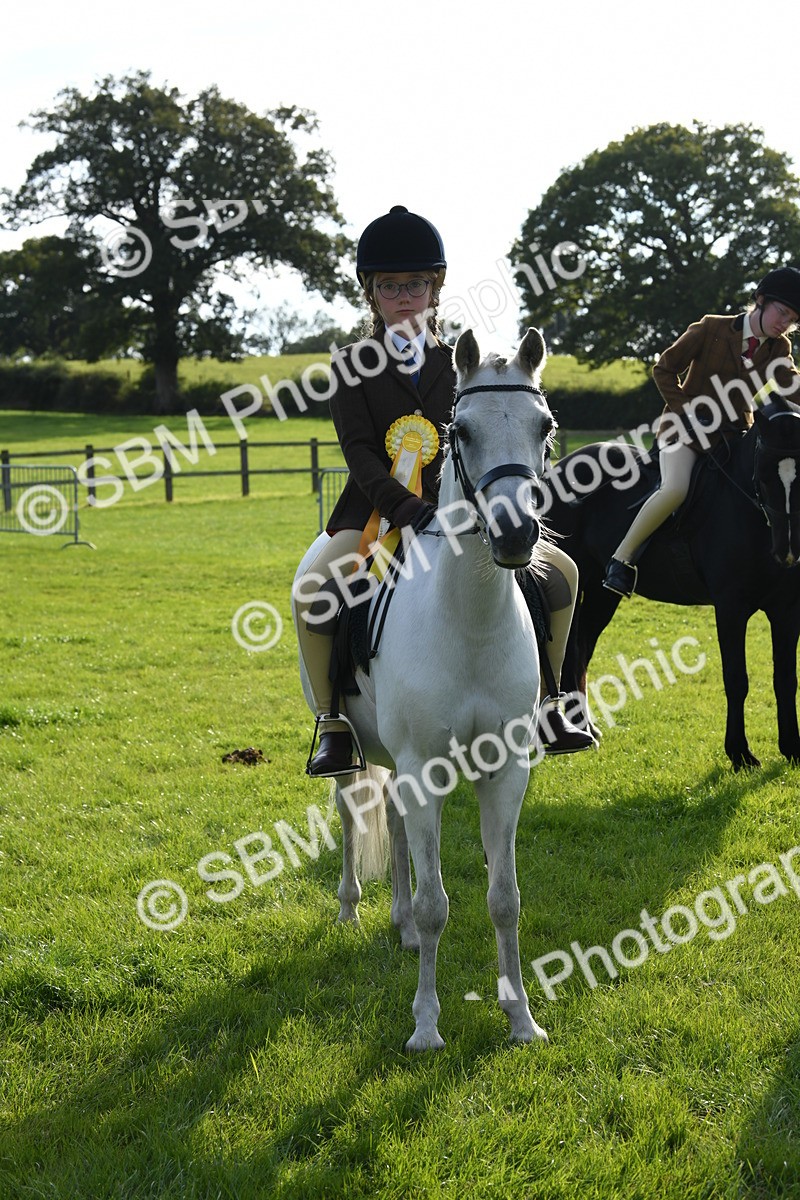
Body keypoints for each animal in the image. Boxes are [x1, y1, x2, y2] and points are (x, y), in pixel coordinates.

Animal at [292, 328, 556, 1051]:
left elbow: (505, 898)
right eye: (459, 430)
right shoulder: (424, 768)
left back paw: (402, 926)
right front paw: (427, 1026)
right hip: (357, 748)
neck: (469, 619)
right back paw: (354, 910)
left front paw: (521, 1019)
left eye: (545, 426)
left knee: (396, 825)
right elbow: (441, 903)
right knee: (351, 812)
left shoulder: (506, 770)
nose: (516, 534)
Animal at [540, 395, 800, 770]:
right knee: (569, 651)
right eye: (763, 476)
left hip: (602, 595)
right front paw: (740, 753)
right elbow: (737, 679)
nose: (788, 551)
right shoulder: (731, 607)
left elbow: (786, 679)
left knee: (582, 649)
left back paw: (587, 727)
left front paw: (792, 747)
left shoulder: (786, 609)